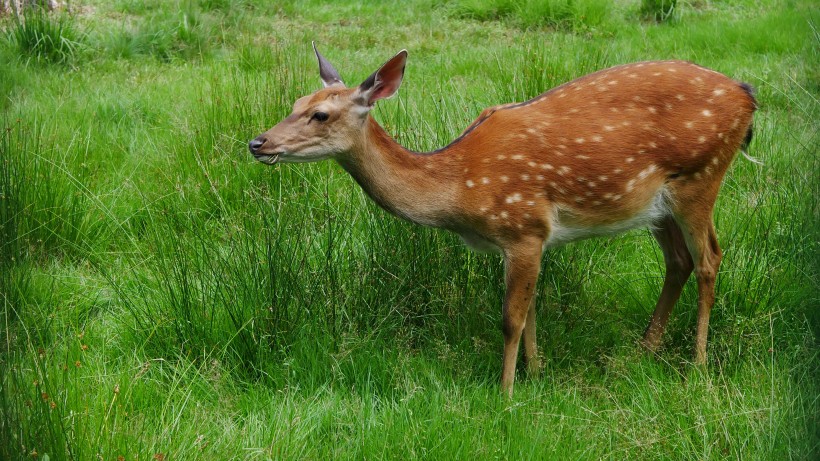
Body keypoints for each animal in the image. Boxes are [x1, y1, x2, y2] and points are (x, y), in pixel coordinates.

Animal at [248, 44, 756, 396]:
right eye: (295, 102)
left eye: (320, 114)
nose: (258, 142)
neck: (460, 189)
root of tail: (748, 98)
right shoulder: (526, 240)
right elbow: (530, 310)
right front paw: (537, 372)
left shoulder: (524, 225)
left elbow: (511, 317)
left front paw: (506, 391)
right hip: (657, 205)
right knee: (679, 261)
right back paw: (644, 350)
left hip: (701, 175)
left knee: (710, 258)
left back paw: (697, 364)